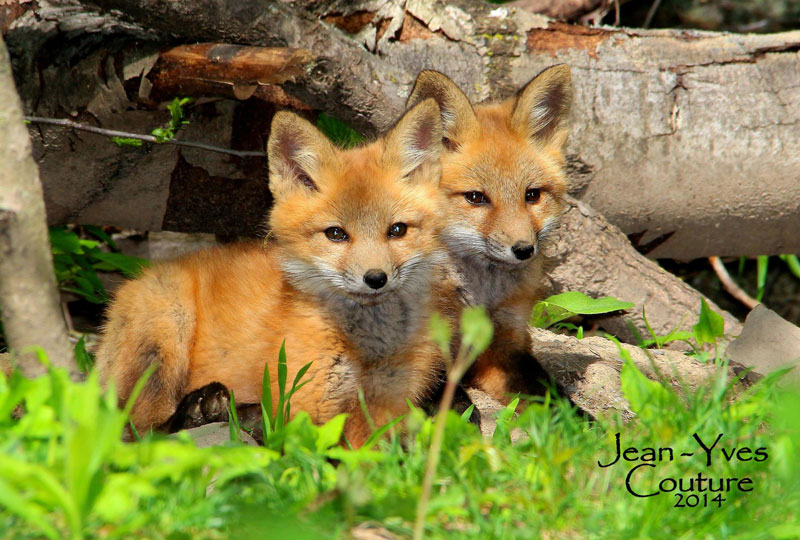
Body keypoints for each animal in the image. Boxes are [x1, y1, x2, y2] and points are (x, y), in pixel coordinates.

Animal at [94, 99, 454, 446]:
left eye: (397, 230)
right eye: (336, 234)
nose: (376, 279)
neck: (367, 352)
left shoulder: (385, 409)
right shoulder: (309, 408)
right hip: (168, 330)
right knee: (140, 432)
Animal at [410, 65, 572, 402]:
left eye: (532, 195)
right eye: (476, 197)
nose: (523, 249)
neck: (479, 298)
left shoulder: (505, 344)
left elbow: (556, 399)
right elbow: (451, 403)